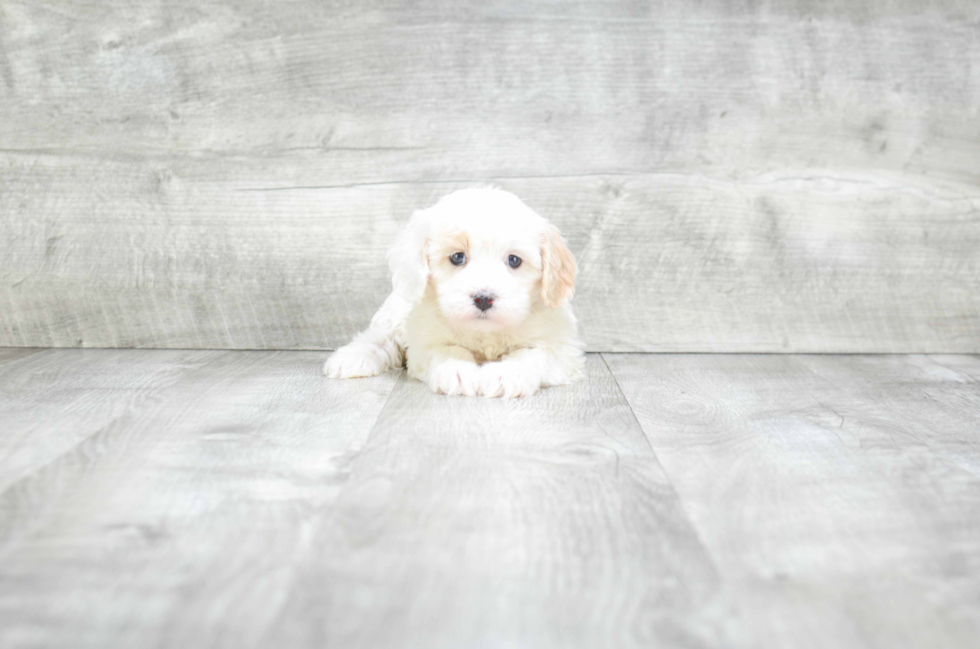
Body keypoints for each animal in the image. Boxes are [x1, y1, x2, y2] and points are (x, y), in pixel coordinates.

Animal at [324, 187, 580, 398]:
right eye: (457, 257)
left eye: (514, 260)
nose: (483, 298)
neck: (486, 333)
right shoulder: (425, 340)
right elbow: (447, 350)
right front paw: (457, 372)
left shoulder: (560, 349)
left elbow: (532, 355)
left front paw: (506, 375)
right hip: (394, 314)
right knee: (380, 336)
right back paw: (352, 358)